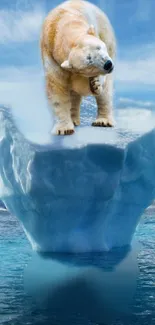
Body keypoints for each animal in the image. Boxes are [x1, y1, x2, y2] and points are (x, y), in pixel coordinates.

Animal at [40, 0, 115, 134]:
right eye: (89, 62)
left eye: (99, 47)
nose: (108, 64)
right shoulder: (51, 56)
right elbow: (57, 88)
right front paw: (64, 129)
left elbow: (88, 85)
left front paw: (95, 84)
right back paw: (74, 120)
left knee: (106, 92)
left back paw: (103, 121)